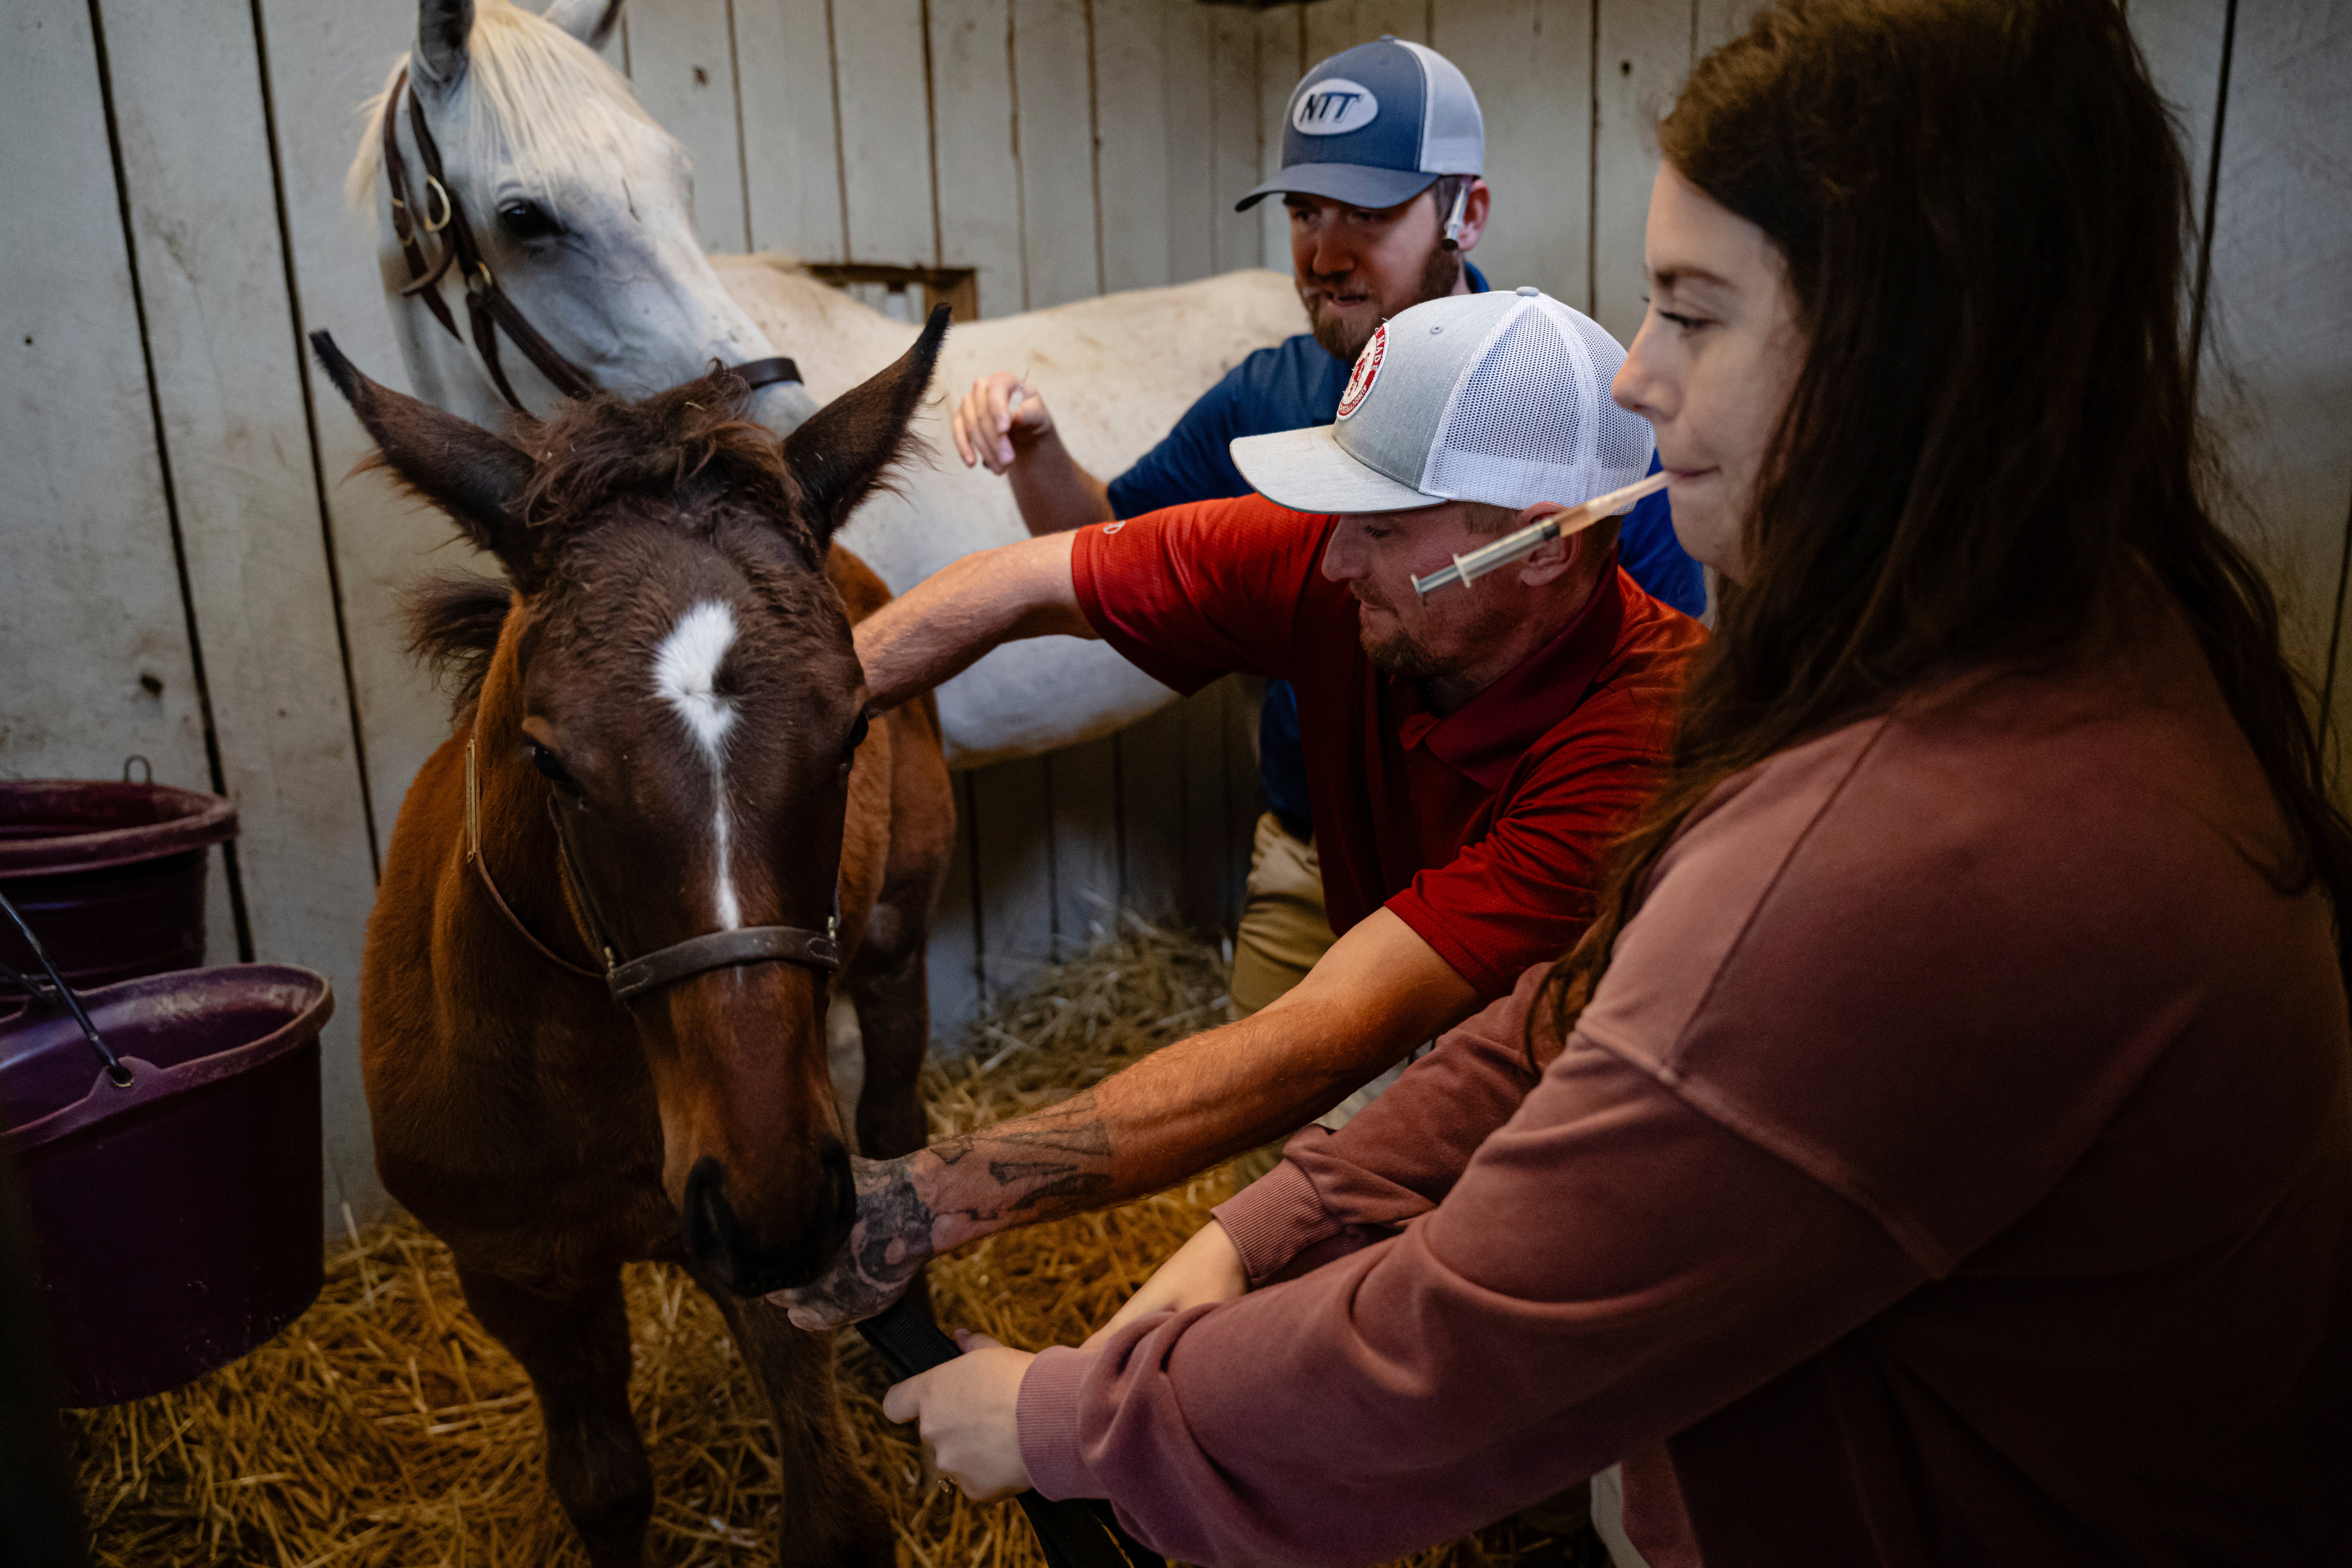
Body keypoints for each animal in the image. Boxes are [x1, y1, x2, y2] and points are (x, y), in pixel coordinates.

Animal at [313, 308, 956, 1567]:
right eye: (548, 756)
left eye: (852, 730)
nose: (776, 1204)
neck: (578, 1068)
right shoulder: (519, 1272)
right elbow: (603, 1485)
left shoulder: (760, 1261)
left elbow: (832, 1515)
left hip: (892, 954)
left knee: (893, 1115)